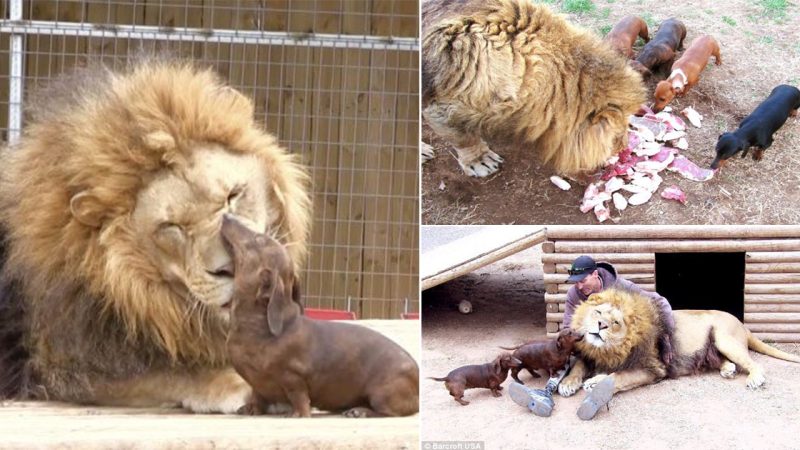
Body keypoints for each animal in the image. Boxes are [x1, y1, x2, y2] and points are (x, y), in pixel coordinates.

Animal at [556, 288, 800, 418]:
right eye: (598, 312)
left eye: (615, 322)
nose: (601, 325)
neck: (608, 349)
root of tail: (742, 324)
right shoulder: (590, 353)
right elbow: (577, 367)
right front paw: (567, 383)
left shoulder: (653, 369)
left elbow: (619, 376)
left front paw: (594, 382)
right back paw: (727, 369)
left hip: (724, 338)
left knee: (754, 364)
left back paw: (754, 379)